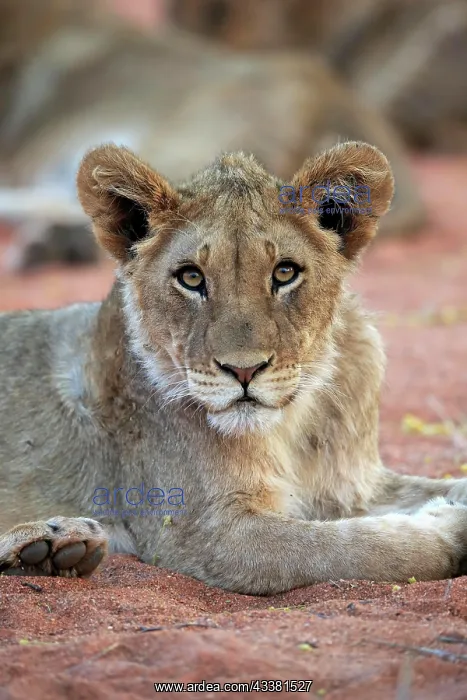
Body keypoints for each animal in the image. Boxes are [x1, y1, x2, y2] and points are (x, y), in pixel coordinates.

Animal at [0, 141, 466, 594]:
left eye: (285, 272)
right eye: (191, 278)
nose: (244, 371)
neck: (294, 427)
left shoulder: (356, 485)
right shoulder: (207, 532)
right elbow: (350, 546)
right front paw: (449, 530)